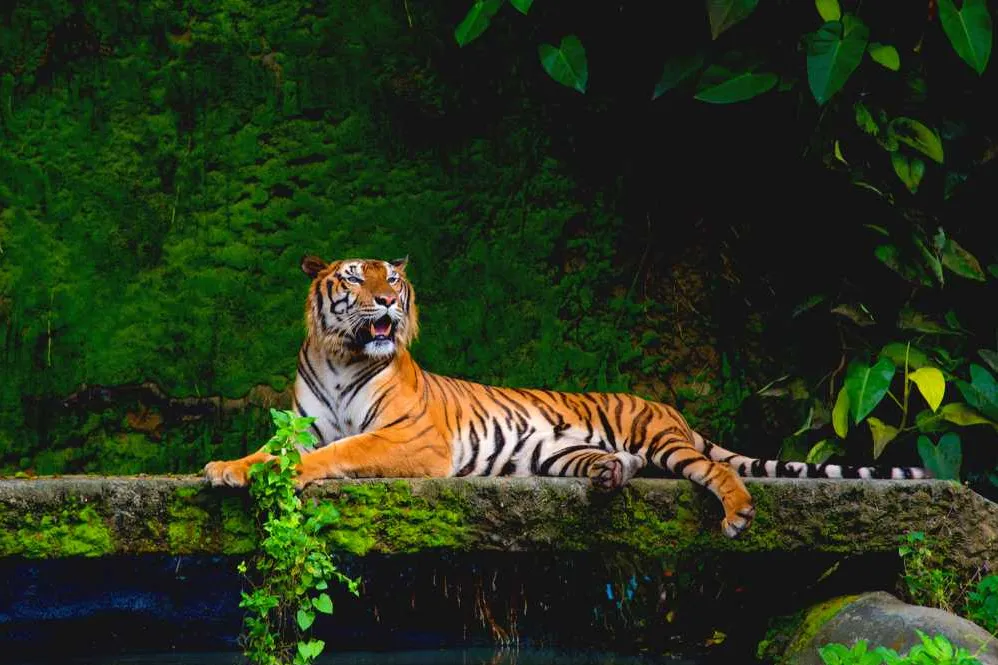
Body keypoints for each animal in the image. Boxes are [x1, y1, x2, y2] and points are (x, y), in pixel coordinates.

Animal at [203, 255, 930, 538]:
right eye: (355, 278)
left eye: (393, 281)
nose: (385, 301)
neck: (341, 354)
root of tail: (671, 409)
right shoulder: (298, 425)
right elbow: (265, 450)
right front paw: (225, 469)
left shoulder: (411, 437)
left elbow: (336, 453)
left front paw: (286, 475)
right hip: (556, 452)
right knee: (615, 465)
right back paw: (609, 474)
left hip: (662, 441)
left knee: (711, 467)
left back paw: (738, 512)